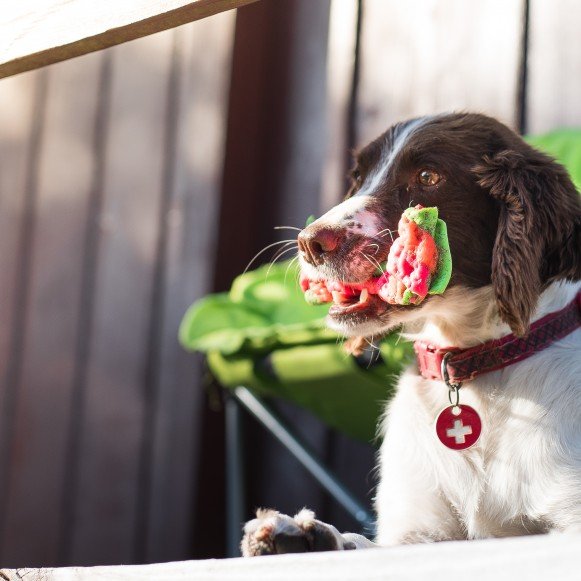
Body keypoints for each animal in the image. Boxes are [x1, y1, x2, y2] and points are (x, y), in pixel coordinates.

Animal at [238, 111, 576, 556]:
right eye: (359, 176)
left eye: (428, 176)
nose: (308, 243)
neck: (470, 371)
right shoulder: (414, 532)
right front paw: (304, 535)